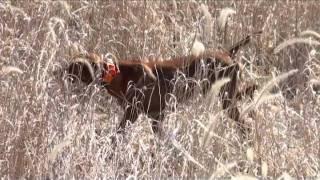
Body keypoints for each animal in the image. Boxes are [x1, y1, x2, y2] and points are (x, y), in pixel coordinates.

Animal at [67, 32, 260, 136]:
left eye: (75, 67)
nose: (62, 73)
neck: (118, 73)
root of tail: (227, 53)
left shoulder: (133, 113)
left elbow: (117, 135)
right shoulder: (155, 117)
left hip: (226, 99)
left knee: (246, 121)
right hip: (226, 96)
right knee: (247, 95)